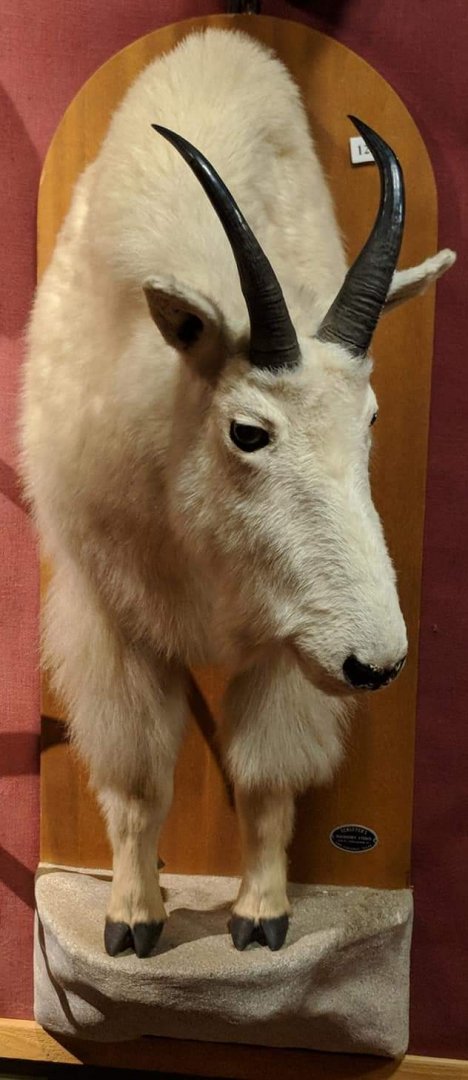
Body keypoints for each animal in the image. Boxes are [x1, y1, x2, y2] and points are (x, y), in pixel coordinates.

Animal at [21, 29, 455, 955]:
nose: (377, 664)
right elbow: (139, 781)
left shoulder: (294, 638)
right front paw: (133, 918)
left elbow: (265, 778)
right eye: (249, 431)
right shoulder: (111, 616)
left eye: (370, 418)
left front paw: (261, 914)